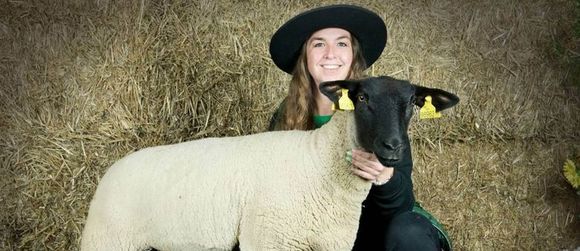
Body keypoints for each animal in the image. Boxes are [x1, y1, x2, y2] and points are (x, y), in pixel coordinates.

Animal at [81, 76, 460, 251]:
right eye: (363, 97)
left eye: (413, 103)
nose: (394, 148)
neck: (319, 164)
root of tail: (111, 170)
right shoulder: (269, 238)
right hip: (107, 240)